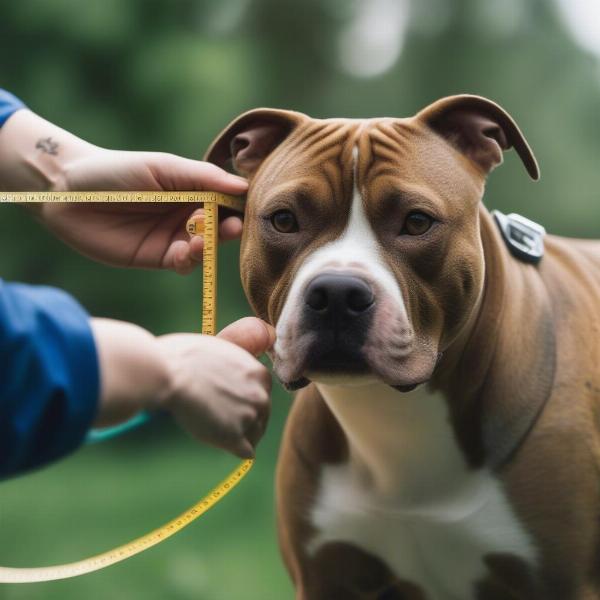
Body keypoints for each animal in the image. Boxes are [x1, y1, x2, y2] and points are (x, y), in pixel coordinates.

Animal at [205, 96, 600, 596]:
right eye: (283, 220)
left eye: (416, 221)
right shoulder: (324, 577)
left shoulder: (564, 583)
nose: (337, 294)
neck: (394, 417)